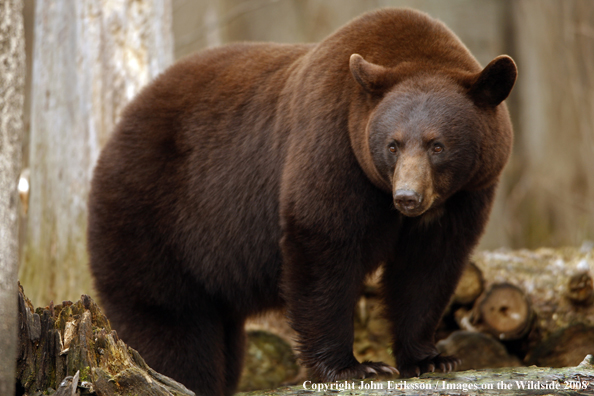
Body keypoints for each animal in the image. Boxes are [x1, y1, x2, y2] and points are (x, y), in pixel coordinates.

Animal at [86, 6, 512, 396]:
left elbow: (428, 266)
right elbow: (324, 245)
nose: (407, 197)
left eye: (437, 145)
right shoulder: (333, 145)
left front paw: (431, 358)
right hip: (153, 216)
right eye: (392, 144)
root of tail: (116, 130)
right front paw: (355, 367)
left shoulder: (463, 196)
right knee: (169, 321)